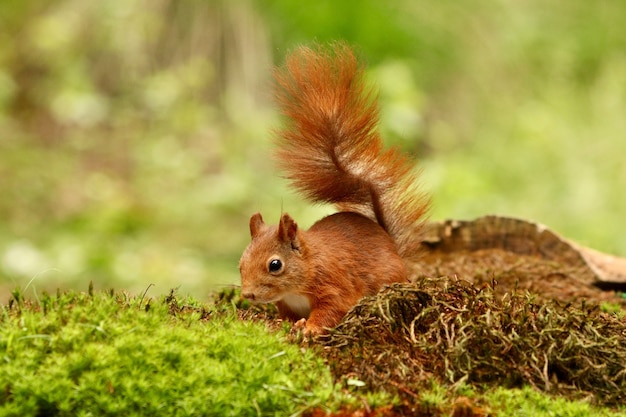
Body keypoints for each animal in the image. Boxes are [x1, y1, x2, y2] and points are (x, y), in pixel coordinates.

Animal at [236, 43, 426, 334]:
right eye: (240, 263)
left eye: (275, 265)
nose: (248, 295)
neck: (307, 266)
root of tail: (388, 239)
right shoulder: (287, 303)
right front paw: (283, 325)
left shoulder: (335, 285)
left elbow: (332, 310)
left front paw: (310, 328)